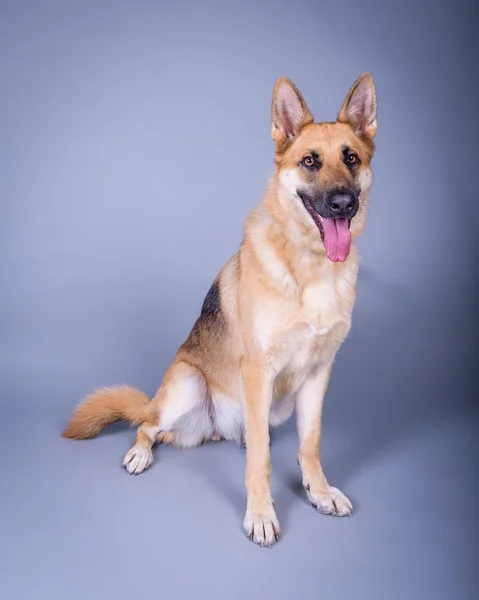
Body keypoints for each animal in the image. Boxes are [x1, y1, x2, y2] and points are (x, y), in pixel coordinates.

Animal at [63, 72, 378, 548]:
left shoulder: (319, 373)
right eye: (310, 161)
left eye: (351, 158)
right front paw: (261, 514)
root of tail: (212, 428)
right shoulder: (259, 370)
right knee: (148, 426)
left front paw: (319, 491)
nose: (343, 203)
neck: (308, 265)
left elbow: (310, 444)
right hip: (187, 385)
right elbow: (262, 462)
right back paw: (139, 452)